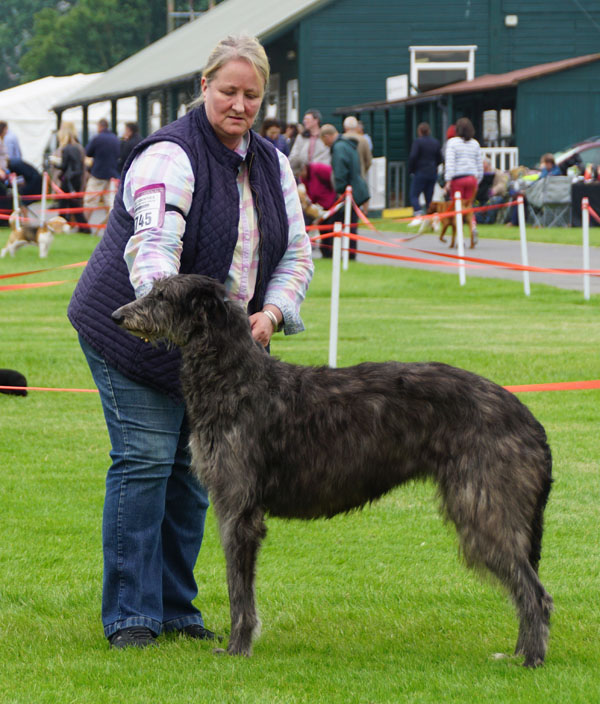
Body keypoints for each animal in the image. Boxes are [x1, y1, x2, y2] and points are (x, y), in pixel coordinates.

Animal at [112, 276, 552, 664]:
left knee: (535, 593)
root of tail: (530, 419)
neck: (235, 378)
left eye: (163, 296)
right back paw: (519, 652)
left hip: (484, 508)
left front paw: (238, 648)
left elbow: (239, 589)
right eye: (152, 289)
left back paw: (530, 659)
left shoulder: (239, 510)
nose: (117, 316)